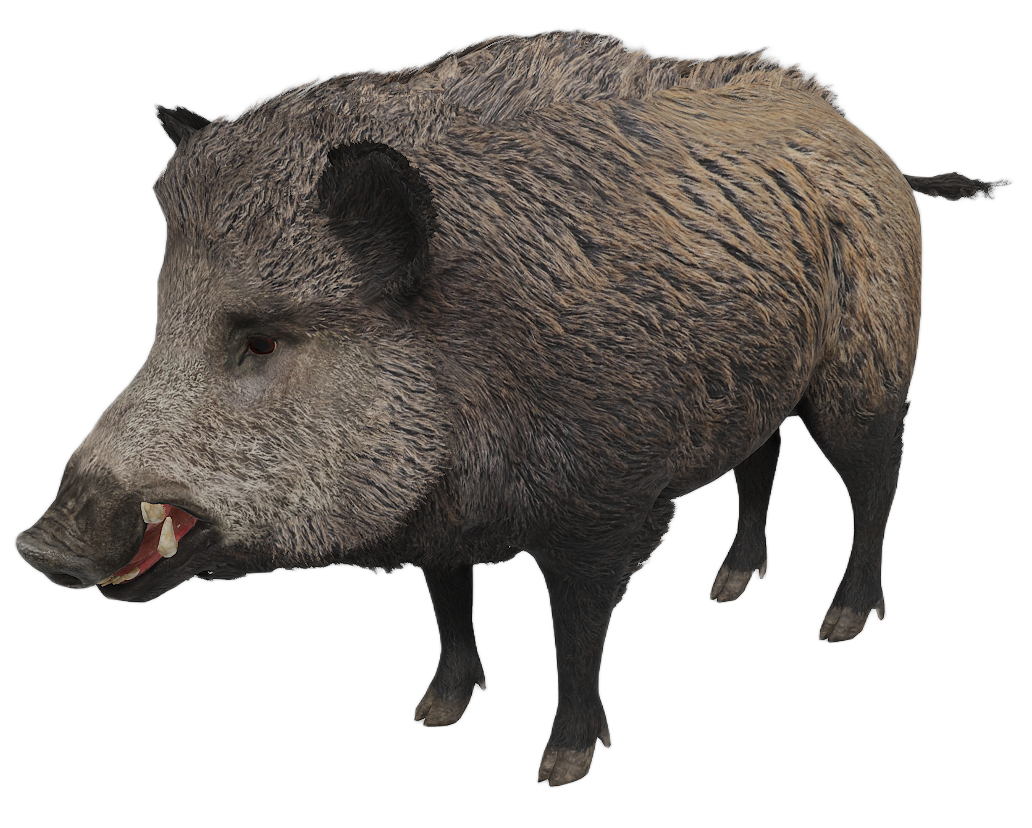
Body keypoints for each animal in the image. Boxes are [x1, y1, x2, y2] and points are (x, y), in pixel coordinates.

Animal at [13, 27, 1015, 786]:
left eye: (260, 339)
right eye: (160, 316)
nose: (37, 544)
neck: (469, 363)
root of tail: (875, 149)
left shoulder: (608, 503)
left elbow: (575, 628)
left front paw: (562, 765)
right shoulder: (441, 517)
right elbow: (449, 601)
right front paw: (433, 714)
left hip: (870, 368)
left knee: (875, 483)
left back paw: (841, 622)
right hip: (751, 389)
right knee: (760, 463)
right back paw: (728, 586)